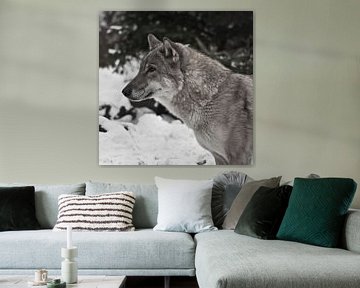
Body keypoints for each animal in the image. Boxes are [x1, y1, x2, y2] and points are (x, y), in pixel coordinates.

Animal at [122, 34, 255, 164]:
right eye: (140, 69)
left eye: (151, 69)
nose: (124, 91)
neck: (209, 98)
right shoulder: (219, 157)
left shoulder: (238, 158)